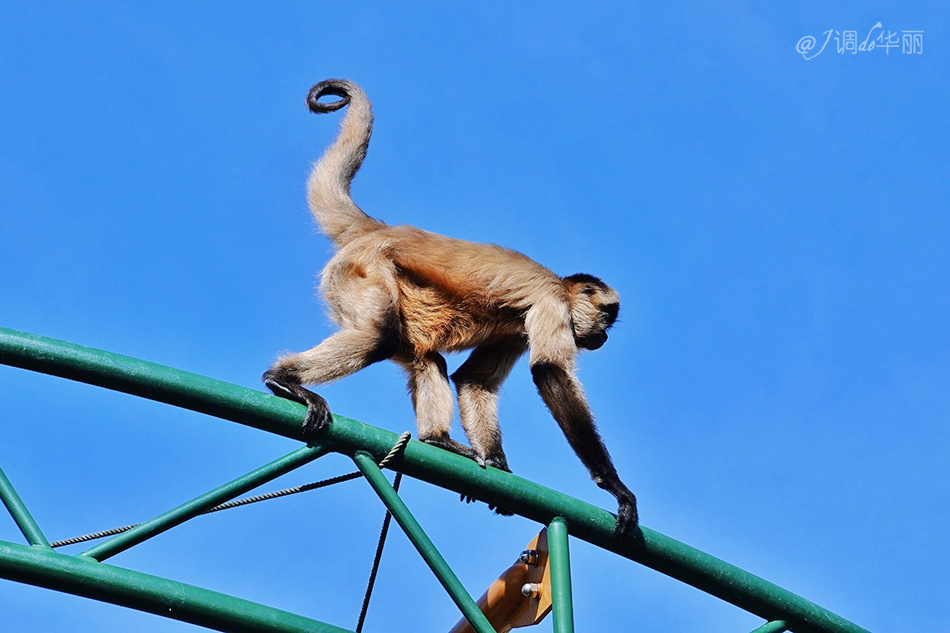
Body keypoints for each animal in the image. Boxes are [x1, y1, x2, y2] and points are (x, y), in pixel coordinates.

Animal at [264, 76, 644, 536]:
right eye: (608, 316)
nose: (604, 336)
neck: (558, 284)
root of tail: (380, 229)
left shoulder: (521, 327)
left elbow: (473, 381)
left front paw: (497, 465)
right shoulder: (551, 302)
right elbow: (549, 371)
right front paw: (616, 489)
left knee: (427, 358)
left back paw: (436, 439)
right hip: (362, 271)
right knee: (379, 335)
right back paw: (283, 379)